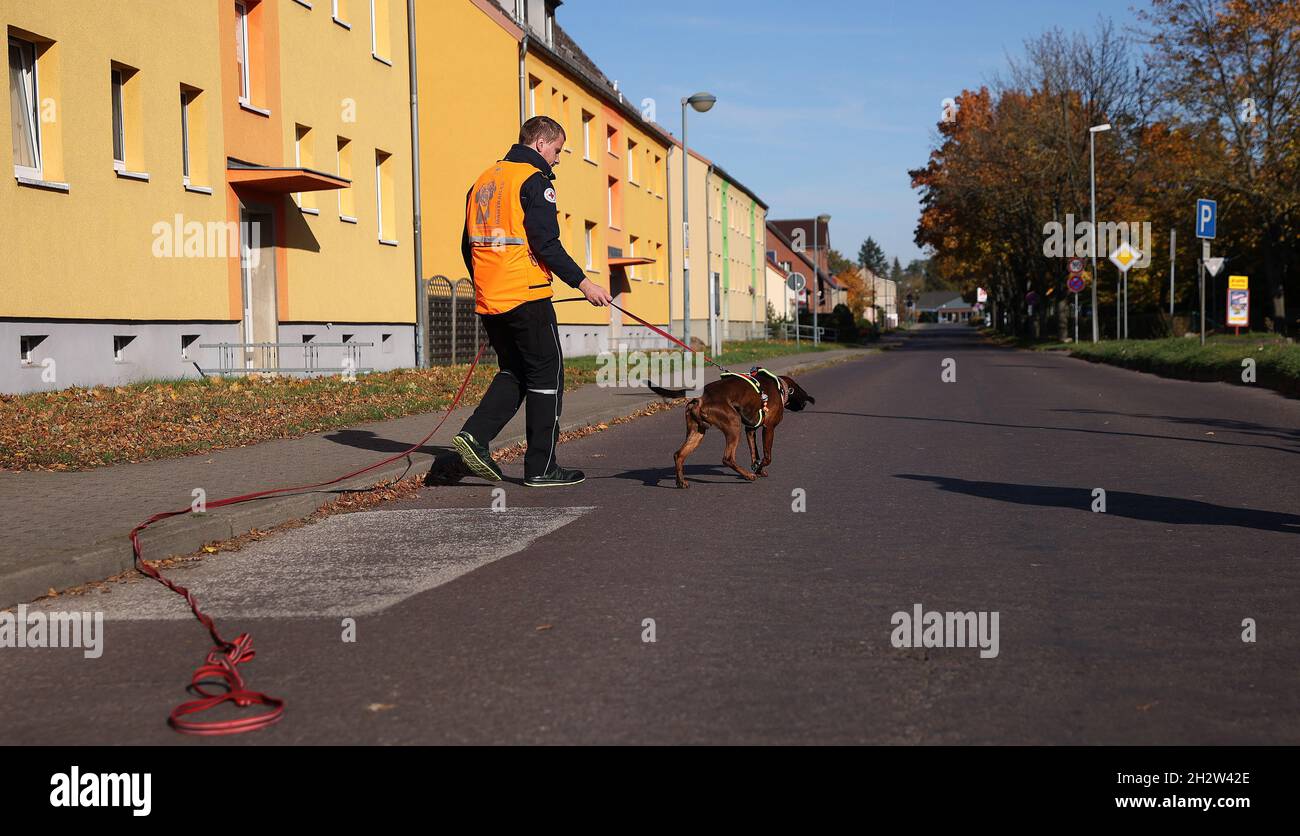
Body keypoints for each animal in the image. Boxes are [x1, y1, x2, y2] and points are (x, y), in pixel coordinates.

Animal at [676, 369, 816, 491]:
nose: (804, 405)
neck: (780, 387)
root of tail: (700, 398)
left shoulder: (750, 429)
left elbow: (755, 454)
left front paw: (758, 468)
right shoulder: (769, 428)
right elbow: (767, 457)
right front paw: (757, 470)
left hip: (697, 433)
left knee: (679, 454)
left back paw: (681, 482)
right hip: (734, 425)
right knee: (728, 458)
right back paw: (748, 475)